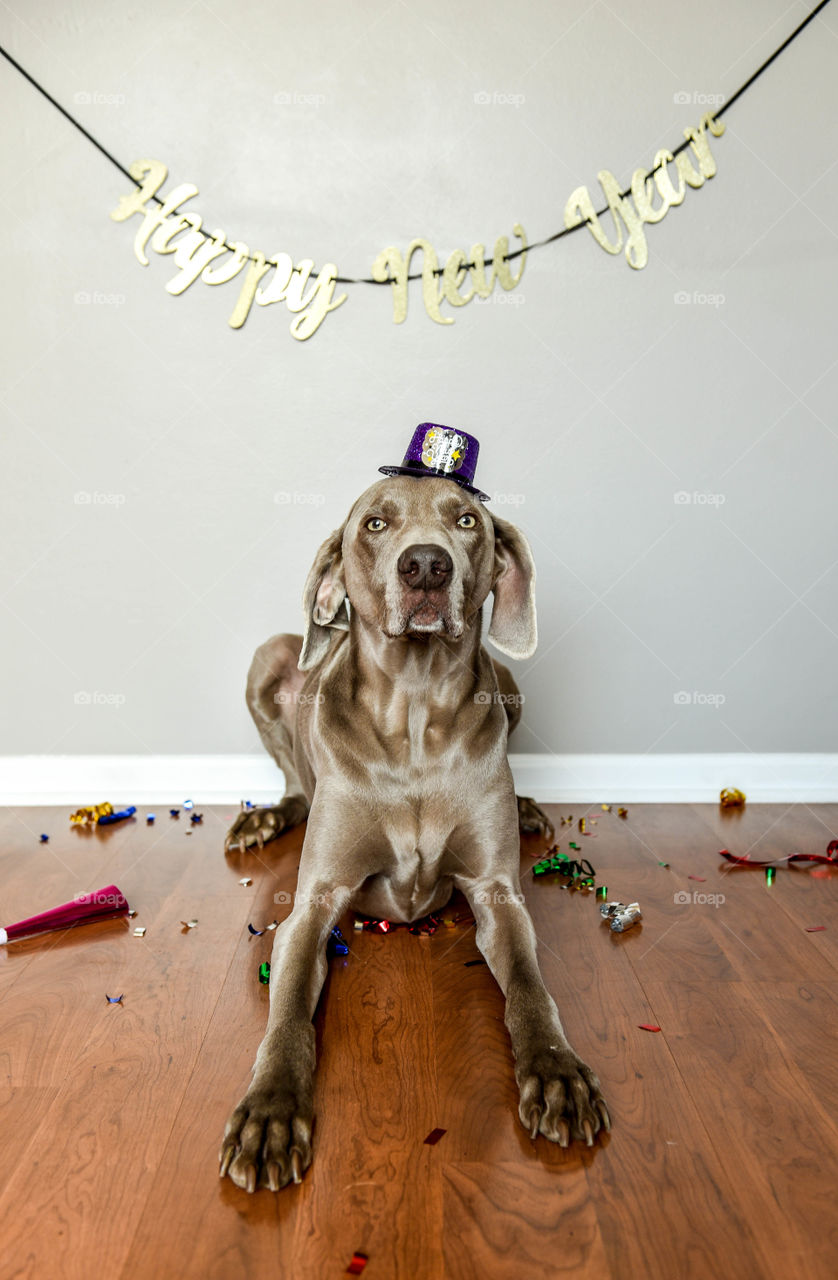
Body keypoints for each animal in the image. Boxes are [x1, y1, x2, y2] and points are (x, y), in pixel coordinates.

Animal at [217, 476, 608, 1192]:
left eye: (466, 520)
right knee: (294, 780)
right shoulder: (311, 907)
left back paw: (530, 806)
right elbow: (287, 1017)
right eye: (376, 523)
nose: (426, 565)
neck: (416, 712)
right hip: (271, 657)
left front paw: (557, 1073)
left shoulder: (498, 895)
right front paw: (270, 1112)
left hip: (509, 682)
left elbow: (530, 991)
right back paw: (266, 816)